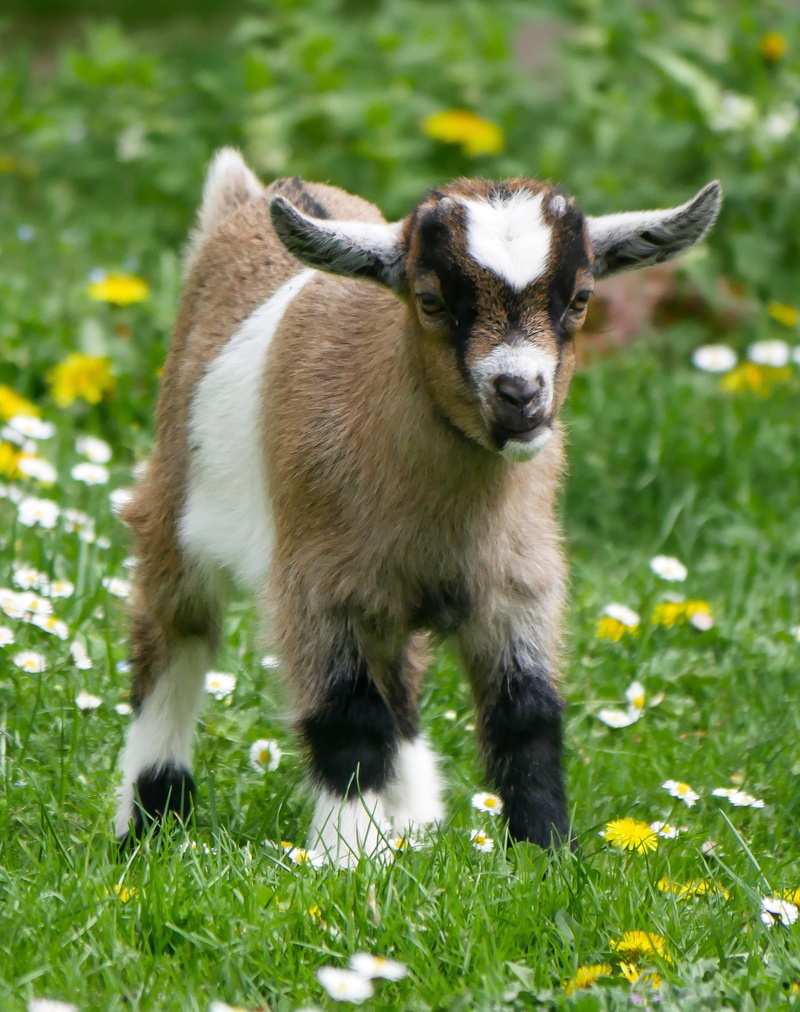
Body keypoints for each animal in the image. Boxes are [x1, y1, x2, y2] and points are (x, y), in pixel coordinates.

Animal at [115, 148, 721, 863]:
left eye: (580, 298)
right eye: (430, 300)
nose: (520, 395)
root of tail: (251, 198)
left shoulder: (518, 584)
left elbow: (528, 715)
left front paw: (546, 854)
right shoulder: (319, 587)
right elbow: (347, 719)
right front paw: (345, 858)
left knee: (399, 685)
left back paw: (415, 826)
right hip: (174, 510)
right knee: (174, 639)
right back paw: (148, 824)